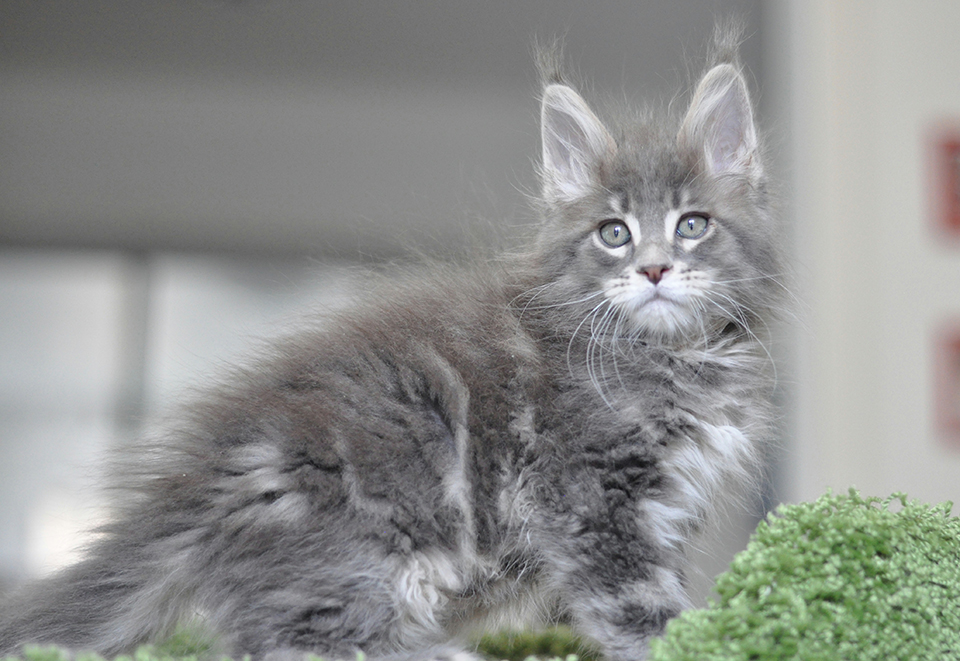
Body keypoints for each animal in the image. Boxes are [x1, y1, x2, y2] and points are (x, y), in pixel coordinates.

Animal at [0, 34, 780, 660]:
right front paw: (699, 643)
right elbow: (643, 609)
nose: (654, 269)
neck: (674, 354)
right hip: (361, 551)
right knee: (293, 641)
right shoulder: (592, 496)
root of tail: (198, 482)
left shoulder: (665, 511)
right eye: (614, 233)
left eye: (692, 224)